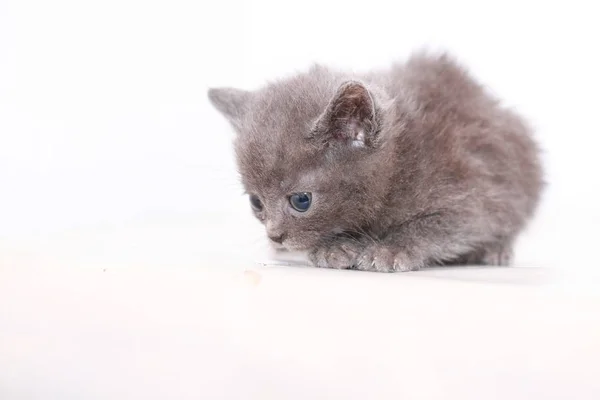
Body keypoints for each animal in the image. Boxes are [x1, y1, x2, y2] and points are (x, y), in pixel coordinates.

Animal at [206, 53, 544, 272]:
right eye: (256, 202)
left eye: (301, 200)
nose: (274, 236)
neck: (399, 164)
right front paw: (334, 248)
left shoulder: (469, 192)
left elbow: (443, 225)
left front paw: (389, 249)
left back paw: (495, 250)